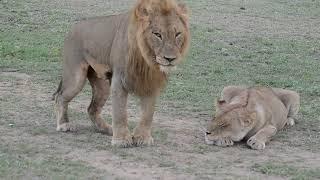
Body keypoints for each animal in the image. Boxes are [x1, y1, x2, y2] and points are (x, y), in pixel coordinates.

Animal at [52, 0, 190, 148]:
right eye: (157, 34)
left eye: (178, 34)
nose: (170, 59)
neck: (146, 58)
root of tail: (73, 28)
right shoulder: (119, 80)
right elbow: (120, 112)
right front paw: (121, 139)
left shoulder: (150, 82)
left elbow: (148, 113)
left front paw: (143, 137)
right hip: (76, 77)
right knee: (60, 97)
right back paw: (64, 124)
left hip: (103, 86)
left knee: (92, 108)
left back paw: (106, 129)